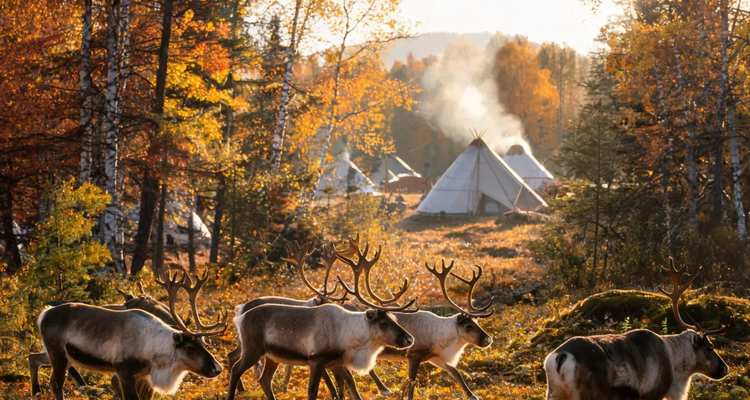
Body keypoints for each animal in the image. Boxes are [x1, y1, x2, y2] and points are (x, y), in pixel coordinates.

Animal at [36, 270, 228, 400]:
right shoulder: (123, 370)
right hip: (57, 352)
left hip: (65, 356)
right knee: (57, 384)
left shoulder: (142, 374)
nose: (217, 368)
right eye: (190, 348)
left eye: (203, 344)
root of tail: (44, 313)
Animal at [226, 239, 418, 400]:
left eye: (395, 318)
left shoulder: (336, 364)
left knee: (265, 380)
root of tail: (240, 315)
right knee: (236, 369)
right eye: (383, 322)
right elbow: (314, 391)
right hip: (252, 348)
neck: (350, 337)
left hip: (271, 355)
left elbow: (351, 386)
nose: (410, 338)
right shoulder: (316, 360)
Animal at [336, 246, 494, 400]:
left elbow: (456, 372)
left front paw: (473, 395)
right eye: (468, 326)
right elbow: (412, 382)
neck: (439, 336)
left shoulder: (435, 357)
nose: (488, 340)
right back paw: (383, 390)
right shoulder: (413, 355)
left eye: (477, 323)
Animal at [544, 258, 735, 400]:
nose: (725, 368)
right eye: (710, 348)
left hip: (554, 392)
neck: (675, 362)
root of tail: (561, 357)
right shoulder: (653, 393)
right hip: (591, 394)